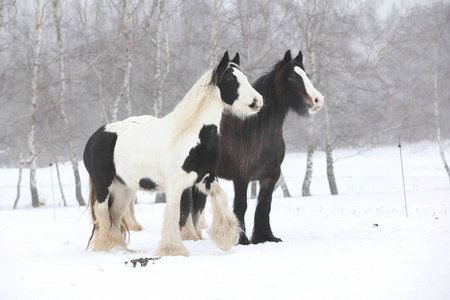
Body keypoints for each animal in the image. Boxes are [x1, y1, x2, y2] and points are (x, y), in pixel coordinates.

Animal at [83, 51, 264, 255]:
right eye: (231, 79)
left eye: (244, 77)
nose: (257, 101)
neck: (190, 135)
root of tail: (94, 137)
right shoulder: (176, 184)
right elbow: (175, 213)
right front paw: (172, 249)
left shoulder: (205, 177)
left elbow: (221, 197)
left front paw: (225, 238)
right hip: (104, 186)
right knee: (102, 213)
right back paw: (108, 248)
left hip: (123, 188)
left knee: (114, 215)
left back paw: (120, 248)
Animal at [179, 50, 324, 245]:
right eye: (293, 77)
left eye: (306, 75)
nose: (318, 100)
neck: (258, 133)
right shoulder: (241, 177)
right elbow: (242, 205)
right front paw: (241, 239)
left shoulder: (271, 176)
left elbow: (264, 205)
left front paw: (265, 237)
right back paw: (188, 236)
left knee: (198, 204)